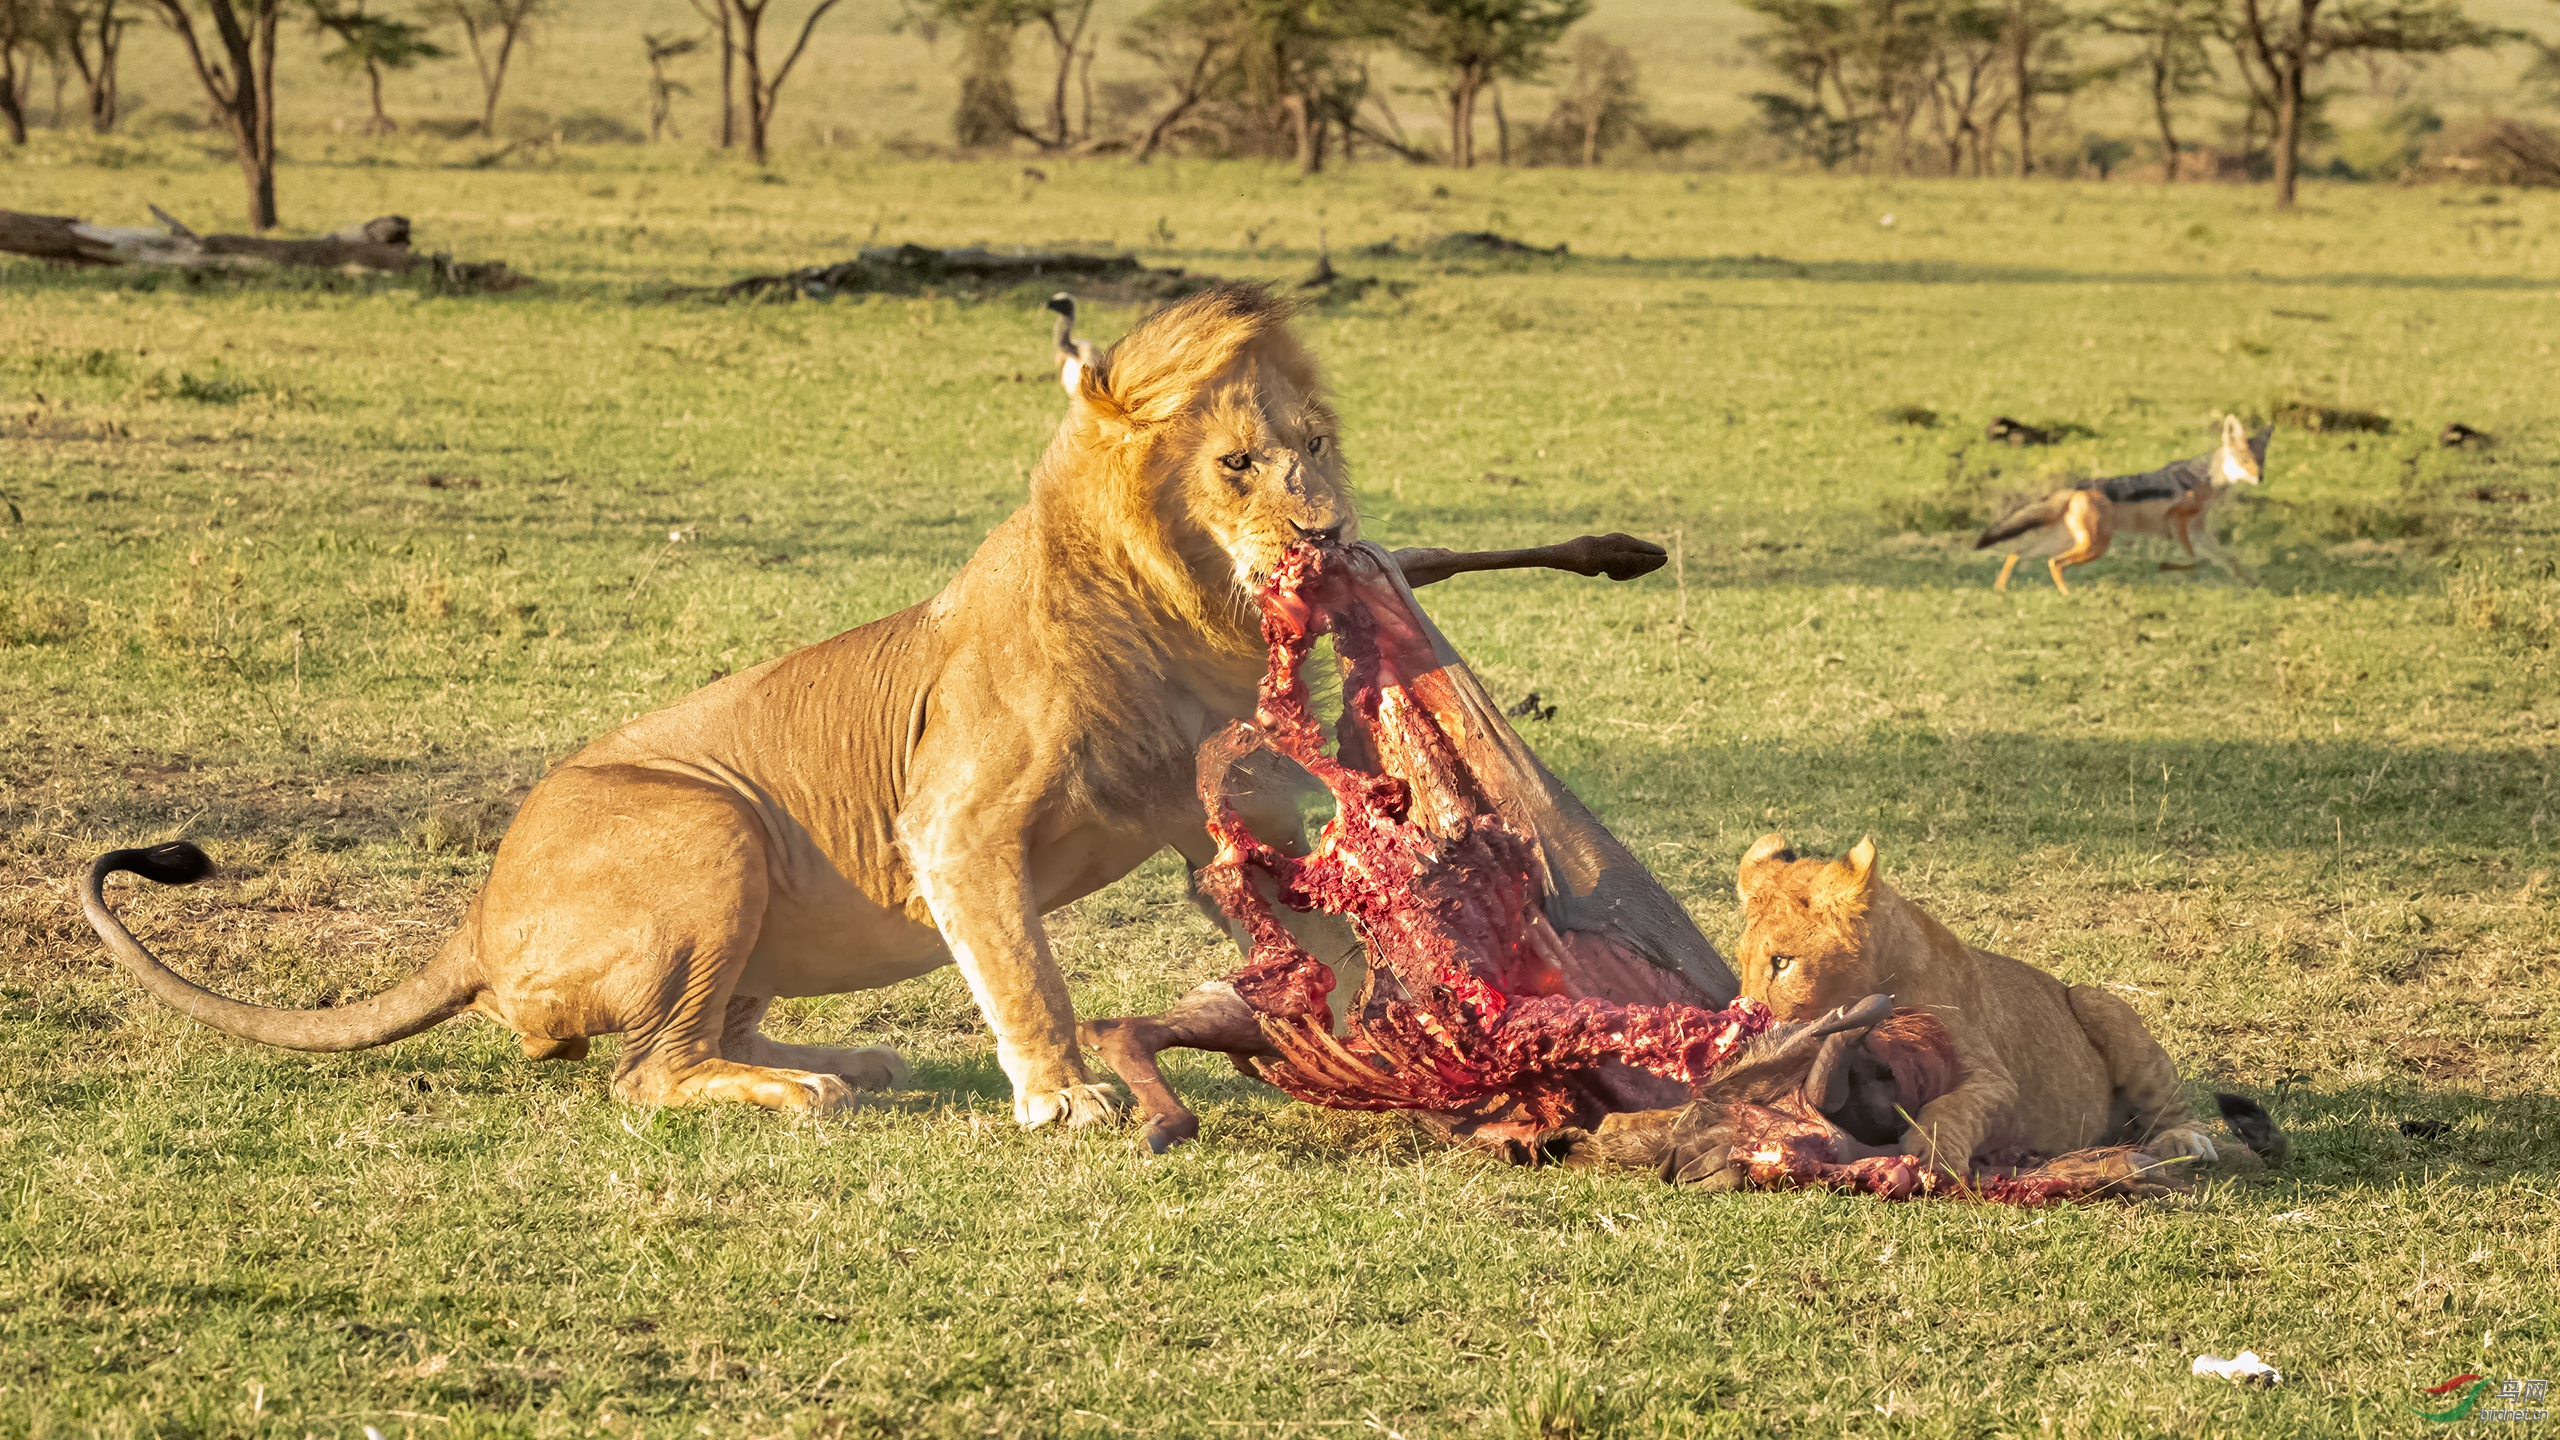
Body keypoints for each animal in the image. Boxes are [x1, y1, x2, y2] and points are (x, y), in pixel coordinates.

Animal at [80, 283, 1658, 1132]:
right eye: (1237, 465)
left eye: (1319, 446)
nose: (1333, 539)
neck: (1179, 617)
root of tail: (472, 918)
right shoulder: (956, 823)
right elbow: (1028, 970)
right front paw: (1067, 1097)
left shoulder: (1222, 800)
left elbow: (1323, 906)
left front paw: (1418, 1041)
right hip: (709, 829)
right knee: (645, 1070)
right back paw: (806, 1091)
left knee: (708, 1031)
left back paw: (849, 1055)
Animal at [1740, 835, 2222, 1173]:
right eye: (1743, 961)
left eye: (1782, 962)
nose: (1750, 1021)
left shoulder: (1995, 1080)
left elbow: (1951, 1107)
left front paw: (1931, 1153)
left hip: (2098, 1002)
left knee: (2173, 1106)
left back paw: (2186, 1141)